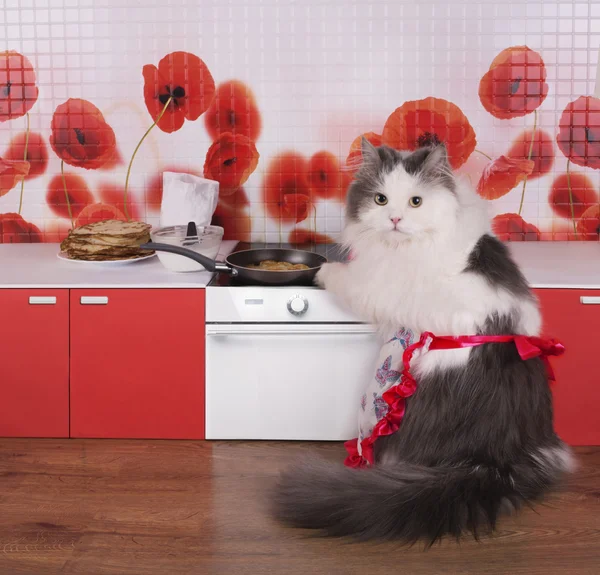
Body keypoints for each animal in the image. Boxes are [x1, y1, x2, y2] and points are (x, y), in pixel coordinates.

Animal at [270, 140, 576, 544]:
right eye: (381, 199)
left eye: (415, 201)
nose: (396, 219)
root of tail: (495, 460)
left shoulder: (375, 285)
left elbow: (342, 276)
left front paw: (321, 269)